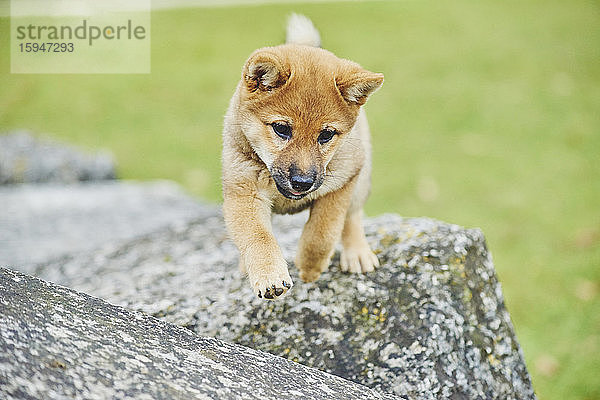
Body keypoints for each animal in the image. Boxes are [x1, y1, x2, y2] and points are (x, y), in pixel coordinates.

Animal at [221, 14, 384, 298]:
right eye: (281, 128)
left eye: (326, 134)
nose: (302, 183)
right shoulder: (243, 193)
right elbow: (258, 236)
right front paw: (270, 276)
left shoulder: (341, 184)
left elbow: (322, 233)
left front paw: (310, 267)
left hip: (360, 178)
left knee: (353, 216)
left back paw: (357, 253)